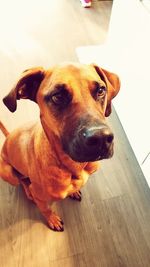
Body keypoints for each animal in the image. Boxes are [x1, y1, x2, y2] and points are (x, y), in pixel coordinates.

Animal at [0, 63, 119, 231]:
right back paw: (28, 191)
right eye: (58, 96)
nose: (101, 138)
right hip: (8, 173)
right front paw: (52, 219)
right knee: (21, 181)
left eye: (101, 90)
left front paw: (73, 192)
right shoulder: (40, 197)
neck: (72, 166)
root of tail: (8, 137)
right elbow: (45, 209)